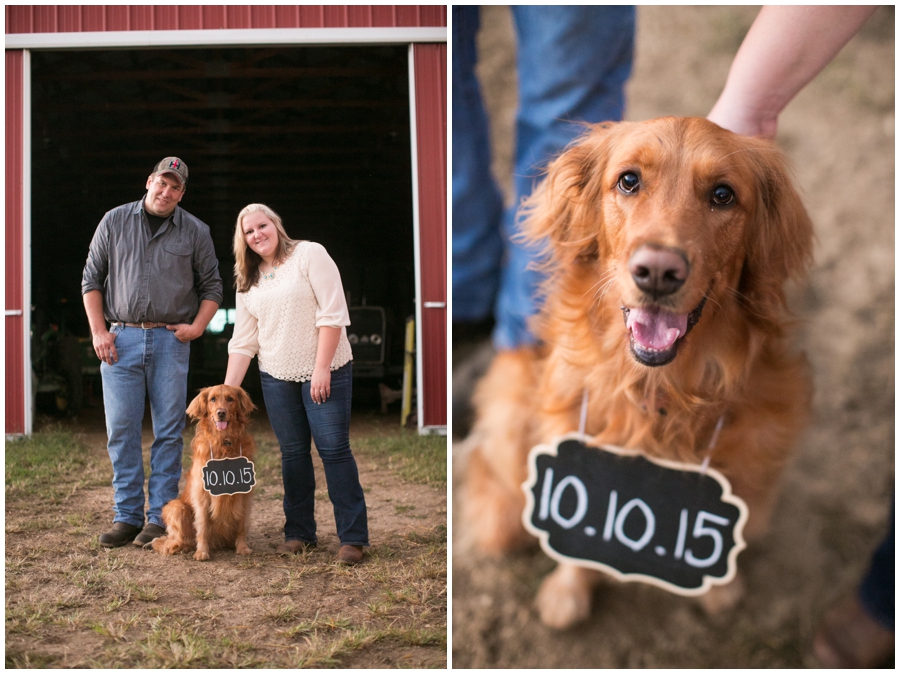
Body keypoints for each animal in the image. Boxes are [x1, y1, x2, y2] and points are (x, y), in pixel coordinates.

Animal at [152, 386, 256, 560]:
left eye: (230, 399)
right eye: (213, 399)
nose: (221, 413)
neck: (224, 443)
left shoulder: (244, 494)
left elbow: (242, 525)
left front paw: (242, 547)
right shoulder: (202, 496)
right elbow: (203, 527)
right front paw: (201, 552)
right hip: (175, 506)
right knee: (177, 539)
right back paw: (179, 547)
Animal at [464, 115, 816, 624]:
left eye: (723, 194)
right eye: (629, 181)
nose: (658, 272)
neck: (659, 392)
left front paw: (718, 588)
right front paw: (568, 591)